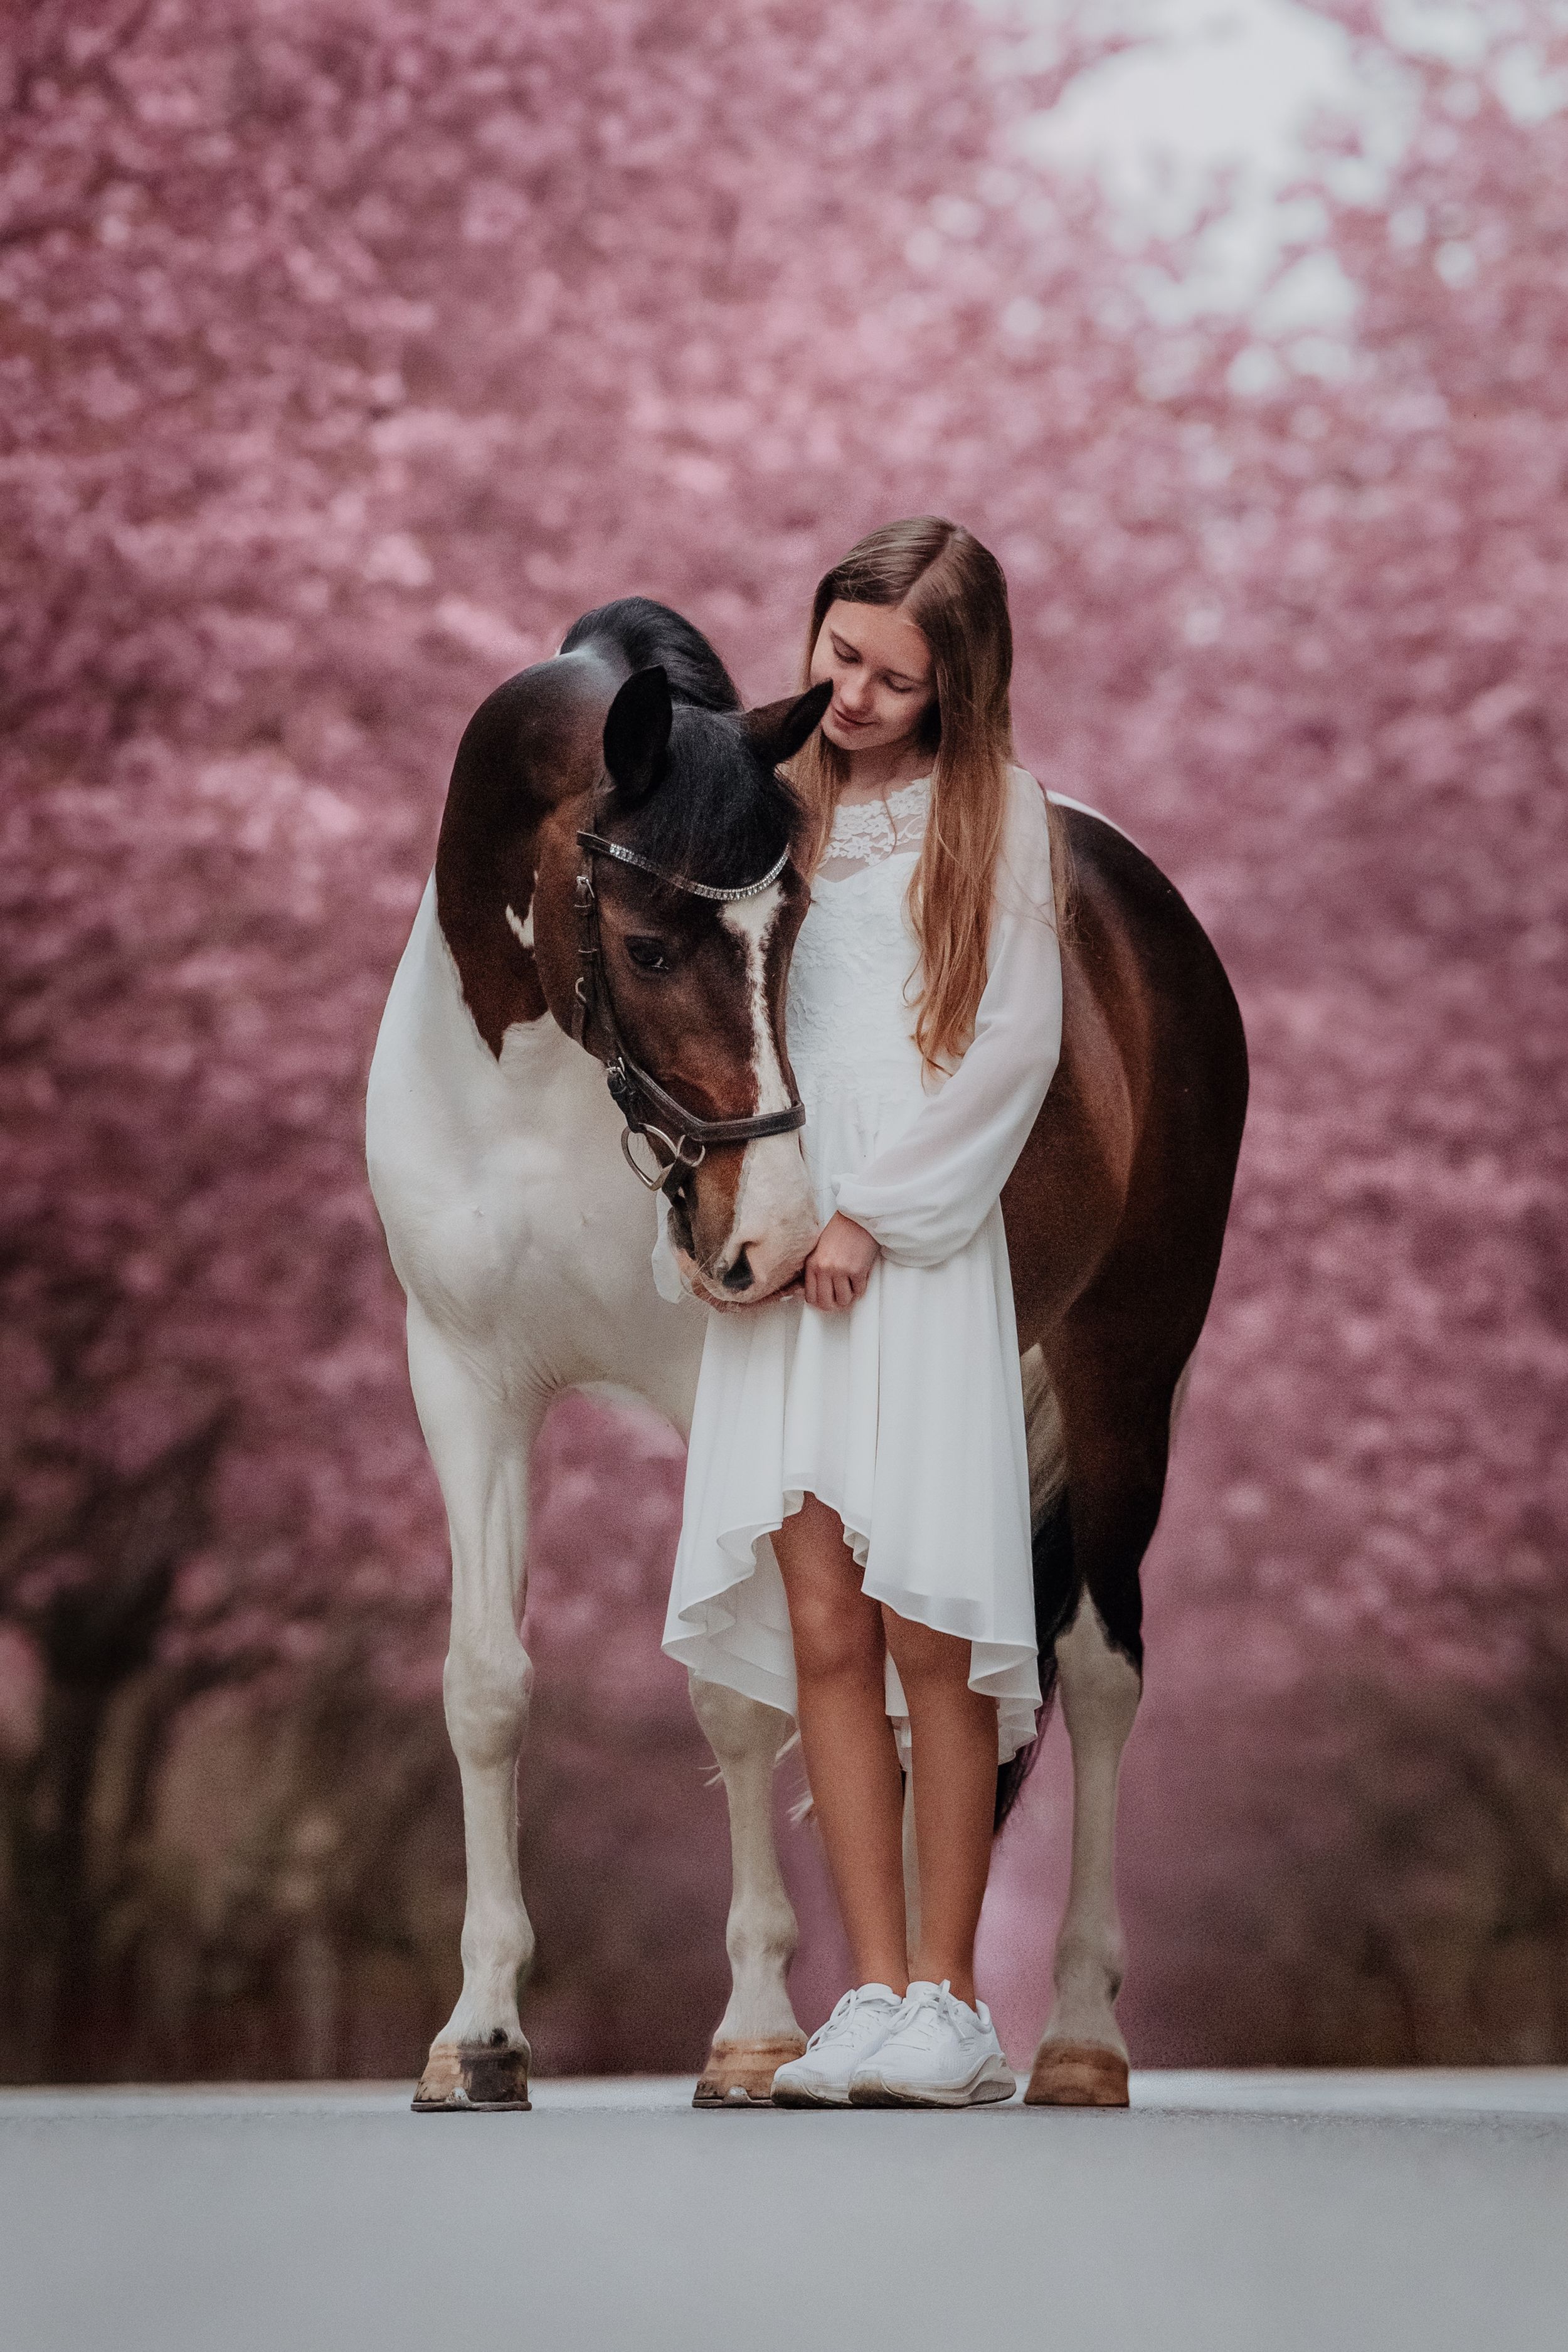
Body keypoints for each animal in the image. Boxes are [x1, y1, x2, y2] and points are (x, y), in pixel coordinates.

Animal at [366, 595, 1248, 2112]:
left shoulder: (717, 1397)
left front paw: (754, 2031)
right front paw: (478, 2036)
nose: (766, 1238)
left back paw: (1072, 2034)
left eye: (795, 941)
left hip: (1123, 1371)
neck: (534, 1091)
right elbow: (485, 1688)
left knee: (1093, 1672)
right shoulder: (464, 1386)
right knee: (936, 1688)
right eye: (650, 947)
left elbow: (731, 1702)